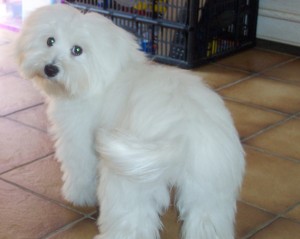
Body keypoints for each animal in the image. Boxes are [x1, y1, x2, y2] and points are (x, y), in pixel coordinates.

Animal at [15, 4, 244, 239]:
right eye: (50, 41)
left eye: (77, 50)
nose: (50, 69)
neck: (101, 79)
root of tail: (183, 134)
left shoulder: (78, 142)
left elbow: (80, 171)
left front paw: (78, 195)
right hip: (209, 189)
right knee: (207, 221)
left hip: (128, 181)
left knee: (132, 223)